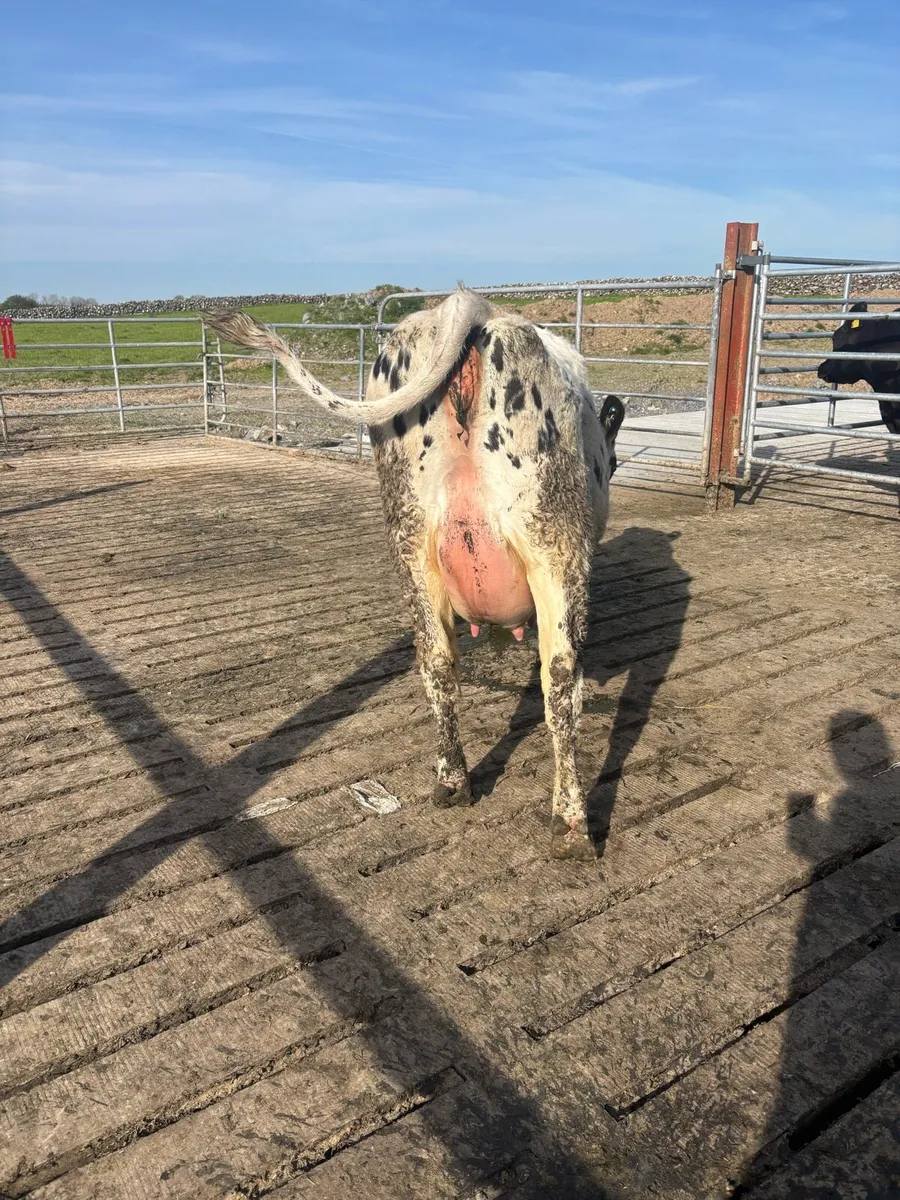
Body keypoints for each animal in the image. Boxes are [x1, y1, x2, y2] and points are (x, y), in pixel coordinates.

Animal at [203, 288, 625, 860]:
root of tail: (470, 306)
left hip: (411, 538)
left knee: (437, 659)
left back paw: (452, 781)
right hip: (551, 537)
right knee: (560, 678)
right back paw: (572, 822)